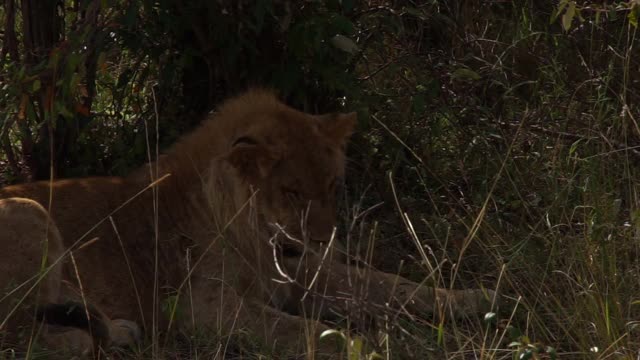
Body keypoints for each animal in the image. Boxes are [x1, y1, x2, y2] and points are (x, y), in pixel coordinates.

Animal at [0, 90, 496, 358]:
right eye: (291, 191)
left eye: (332, 185)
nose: (324, 240)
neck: (254, 234)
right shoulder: (199, 306)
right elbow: (298, 329)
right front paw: (377, 347)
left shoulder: (299, 271)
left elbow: (389, 284)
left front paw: (481, 299)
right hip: (29, 211)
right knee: (20, 336)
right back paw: (110, 335)